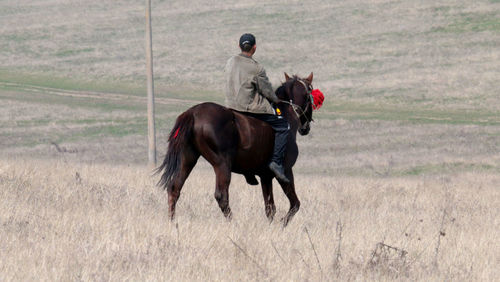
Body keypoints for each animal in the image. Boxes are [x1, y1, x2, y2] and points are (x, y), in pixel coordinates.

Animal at [156, 72, 314, 227]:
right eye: (310, 94)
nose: (305, 128)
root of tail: (193, 113)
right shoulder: (286, 172)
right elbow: (295, 204)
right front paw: (282, 224)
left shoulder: (265, 176)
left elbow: (270, 208)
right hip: (222, 165)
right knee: (222, 196)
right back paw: (234, 224)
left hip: (187, 160)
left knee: (174, 188)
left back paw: (172, 222)